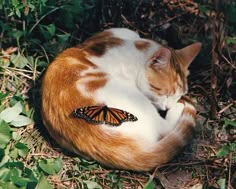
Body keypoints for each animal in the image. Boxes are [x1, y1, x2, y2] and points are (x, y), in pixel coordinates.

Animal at [40, 28, 201, 171]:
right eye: (163, 92)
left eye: (178, 94)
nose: (168, 106)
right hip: (133, 97)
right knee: (165, 128)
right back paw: (181, 107)